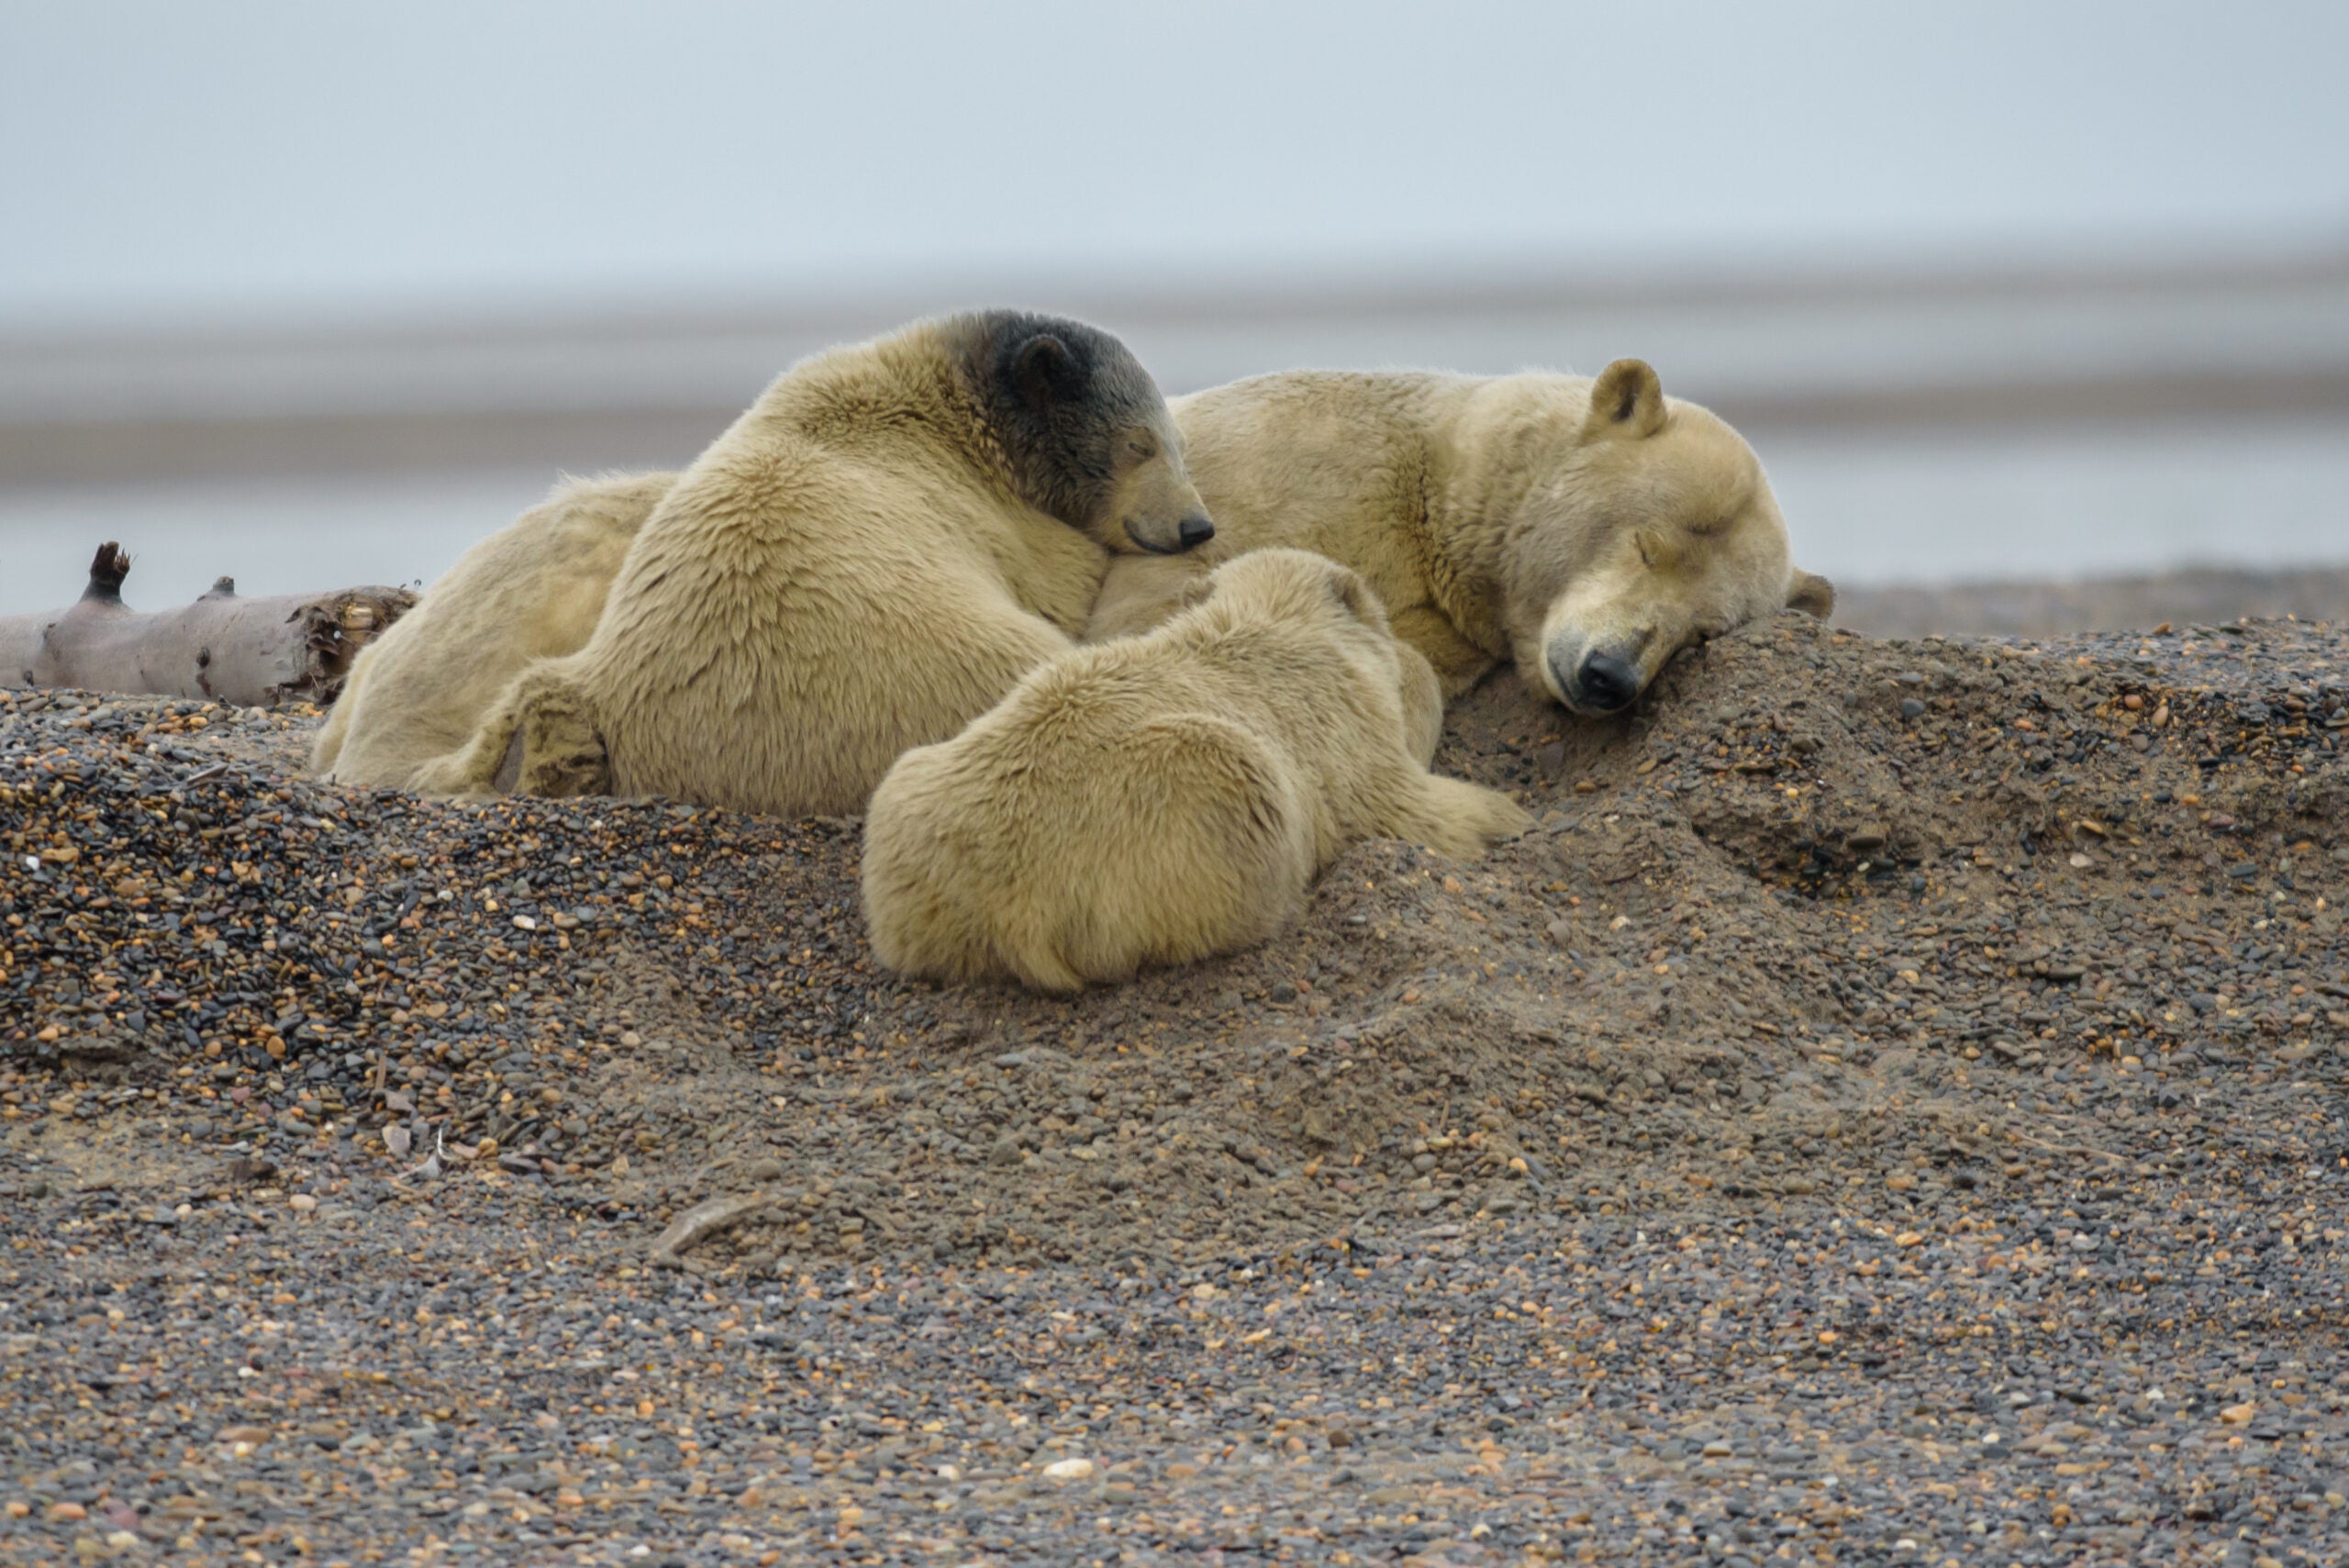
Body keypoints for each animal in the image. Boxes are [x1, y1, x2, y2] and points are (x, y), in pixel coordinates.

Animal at [411, 309, 1211, 817]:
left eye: (1175, 440)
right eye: (1141, 443)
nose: (1195, 524)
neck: (943, 402)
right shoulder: (1011, 525)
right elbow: (1065, 578)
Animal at [854, 551, 1531, 990]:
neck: (1271, 614)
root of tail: (989, 905)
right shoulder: (1339, 725)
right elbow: (1407, 805)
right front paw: (1511, 817)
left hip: (909, 802)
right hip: (1183, 800)